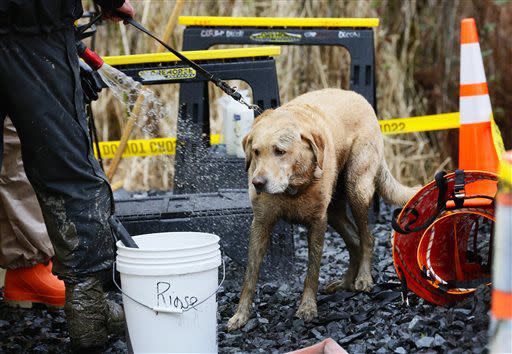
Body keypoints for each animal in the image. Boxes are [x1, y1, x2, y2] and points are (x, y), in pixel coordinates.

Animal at [226, 89, 418, 332]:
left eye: (280, 151)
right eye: (256, 152)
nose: (257, 183)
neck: (293, 188)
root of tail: (360, 98)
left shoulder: (318, 222)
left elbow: (313, 270)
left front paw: (308, 307)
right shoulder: (260, 224)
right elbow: (250, 275)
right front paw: (240, 315)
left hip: (356, 189)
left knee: (367, 237)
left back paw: (363, 278)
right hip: (335, 211)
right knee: (354, 240)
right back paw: (345, 283)